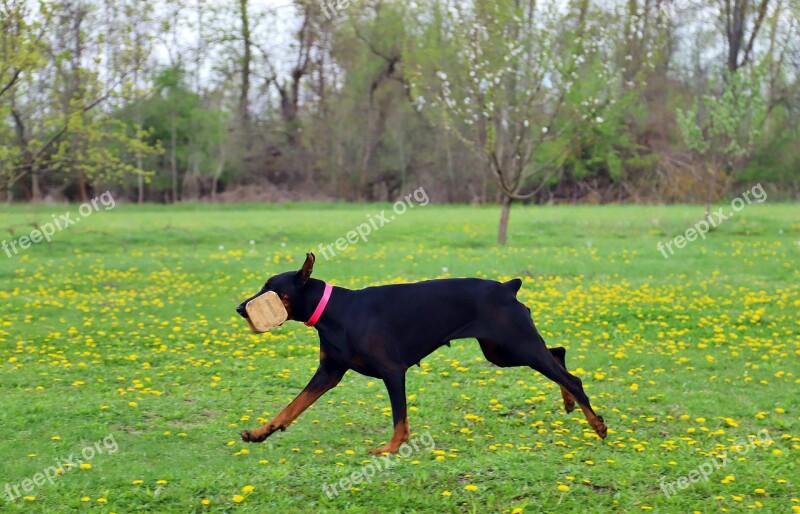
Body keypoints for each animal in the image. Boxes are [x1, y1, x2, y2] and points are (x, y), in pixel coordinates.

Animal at [236, 252, 608, 452]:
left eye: (271, 288)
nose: (240, 308)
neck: (334, 312)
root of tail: (508, 287)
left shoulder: (391, 370)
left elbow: (400, 419)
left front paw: (389, 449)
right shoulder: (329, 372)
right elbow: (291, 407)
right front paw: (259, 433)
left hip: (518, 344)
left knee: (570, 376)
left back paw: (597, 423)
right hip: (501, 352)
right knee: (558, 352)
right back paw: (569, 404)